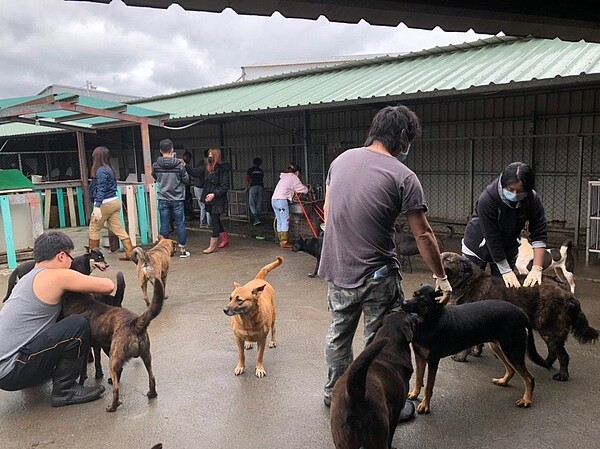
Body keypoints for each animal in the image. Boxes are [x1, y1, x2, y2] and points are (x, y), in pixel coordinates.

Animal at [62, 278, 164, 412]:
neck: (81, 299)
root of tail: (135, 323)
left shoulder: (84, 348)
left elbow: (83, 371)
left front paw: (81, 383)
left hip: (113, 359)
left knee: (116, 388)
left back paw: (112, 407)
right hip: (146, 356)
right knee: (152, 377)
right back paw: (152, 394)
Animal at [328, 310, 418, 448]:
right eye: (409, 317)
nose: (415, 313)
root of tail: (355, 393)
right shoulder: (396, 412)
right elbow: (391, 435)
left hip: (343, 439)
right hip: (378, 434)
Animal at [400, 284, 548, 412]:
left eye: (422, 299)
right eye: (414, 294)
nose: (403, 304)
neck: (430, 320)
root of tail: (521, 312)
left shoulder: (433, 361)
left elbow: (428, 387)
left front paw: (425, 405)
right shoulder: (419, 356)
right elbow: (418, 379)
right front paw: (414, 394)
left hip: (512, 350)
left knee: (529, 378)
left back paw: (526, 400)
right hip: (498, 347)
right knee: (511, 369)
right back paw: (503, 381)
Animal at [438, 250, 596, 380]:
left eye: (448, 260)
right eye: (441, 256)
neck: (468, 282)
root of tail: (566, 292)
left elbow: (467, 346)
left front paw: (461, 357)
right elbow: (478, 343)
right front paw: (476, 352)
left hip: (550, 327)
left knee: (563, 355)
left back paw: (562, 375)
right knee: (553, 351)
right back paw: (546, 363)